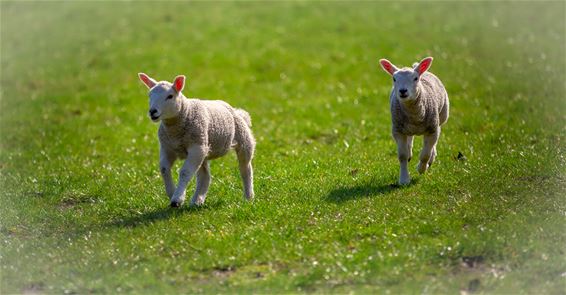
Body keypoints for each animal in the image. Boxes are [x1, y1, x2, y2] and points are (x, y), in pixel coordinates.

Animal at [139, 73, 256, 208]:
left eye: (170, 96)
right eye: (149, 95)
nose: (153, 112)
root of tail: (237, 111)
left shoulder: (195, 147)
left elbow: (185, 172)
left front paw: (177, 199)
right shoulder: (167, 147)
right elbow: (164, 169)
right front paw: (172, 193)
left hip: (242, 140)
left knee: (245, 168)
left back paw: (248, 197)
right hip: (204, 147)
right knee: (205, 176)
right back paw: (197, 201)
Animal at [380, 57, 450, 185]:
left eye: (415, 78)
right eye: (394, 79)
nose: (403, 91)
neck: (415, 117)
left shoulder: (432, 129)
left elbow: (425, 154)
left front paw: (422, 168)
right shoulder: (398, 130)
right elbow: (402, 155)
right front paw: (404, 179)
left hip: (441, 116)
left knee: (435, 140)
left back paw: (431, 158)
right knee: (410, 138)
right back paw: (409, 152)